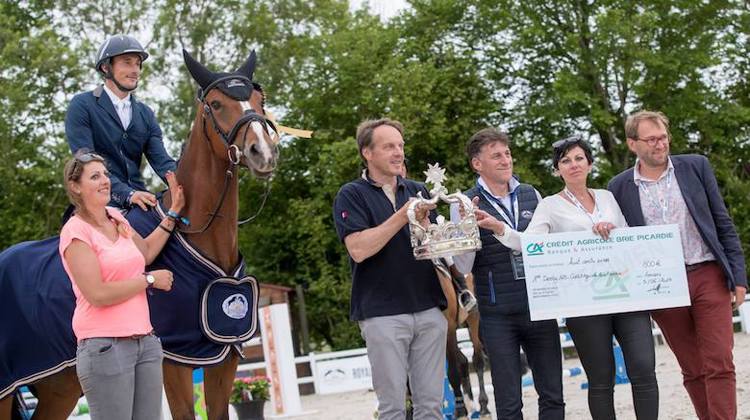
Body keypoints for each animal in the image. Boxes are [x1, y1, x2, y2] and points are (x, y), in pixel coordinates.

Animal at [0, 50, 280, 420]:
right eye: (217, 104)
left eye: (260, 101)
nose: (263, 152)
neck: (195, 236)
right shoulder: (173, 361)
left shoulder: (224, 358)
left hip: (60, 384)